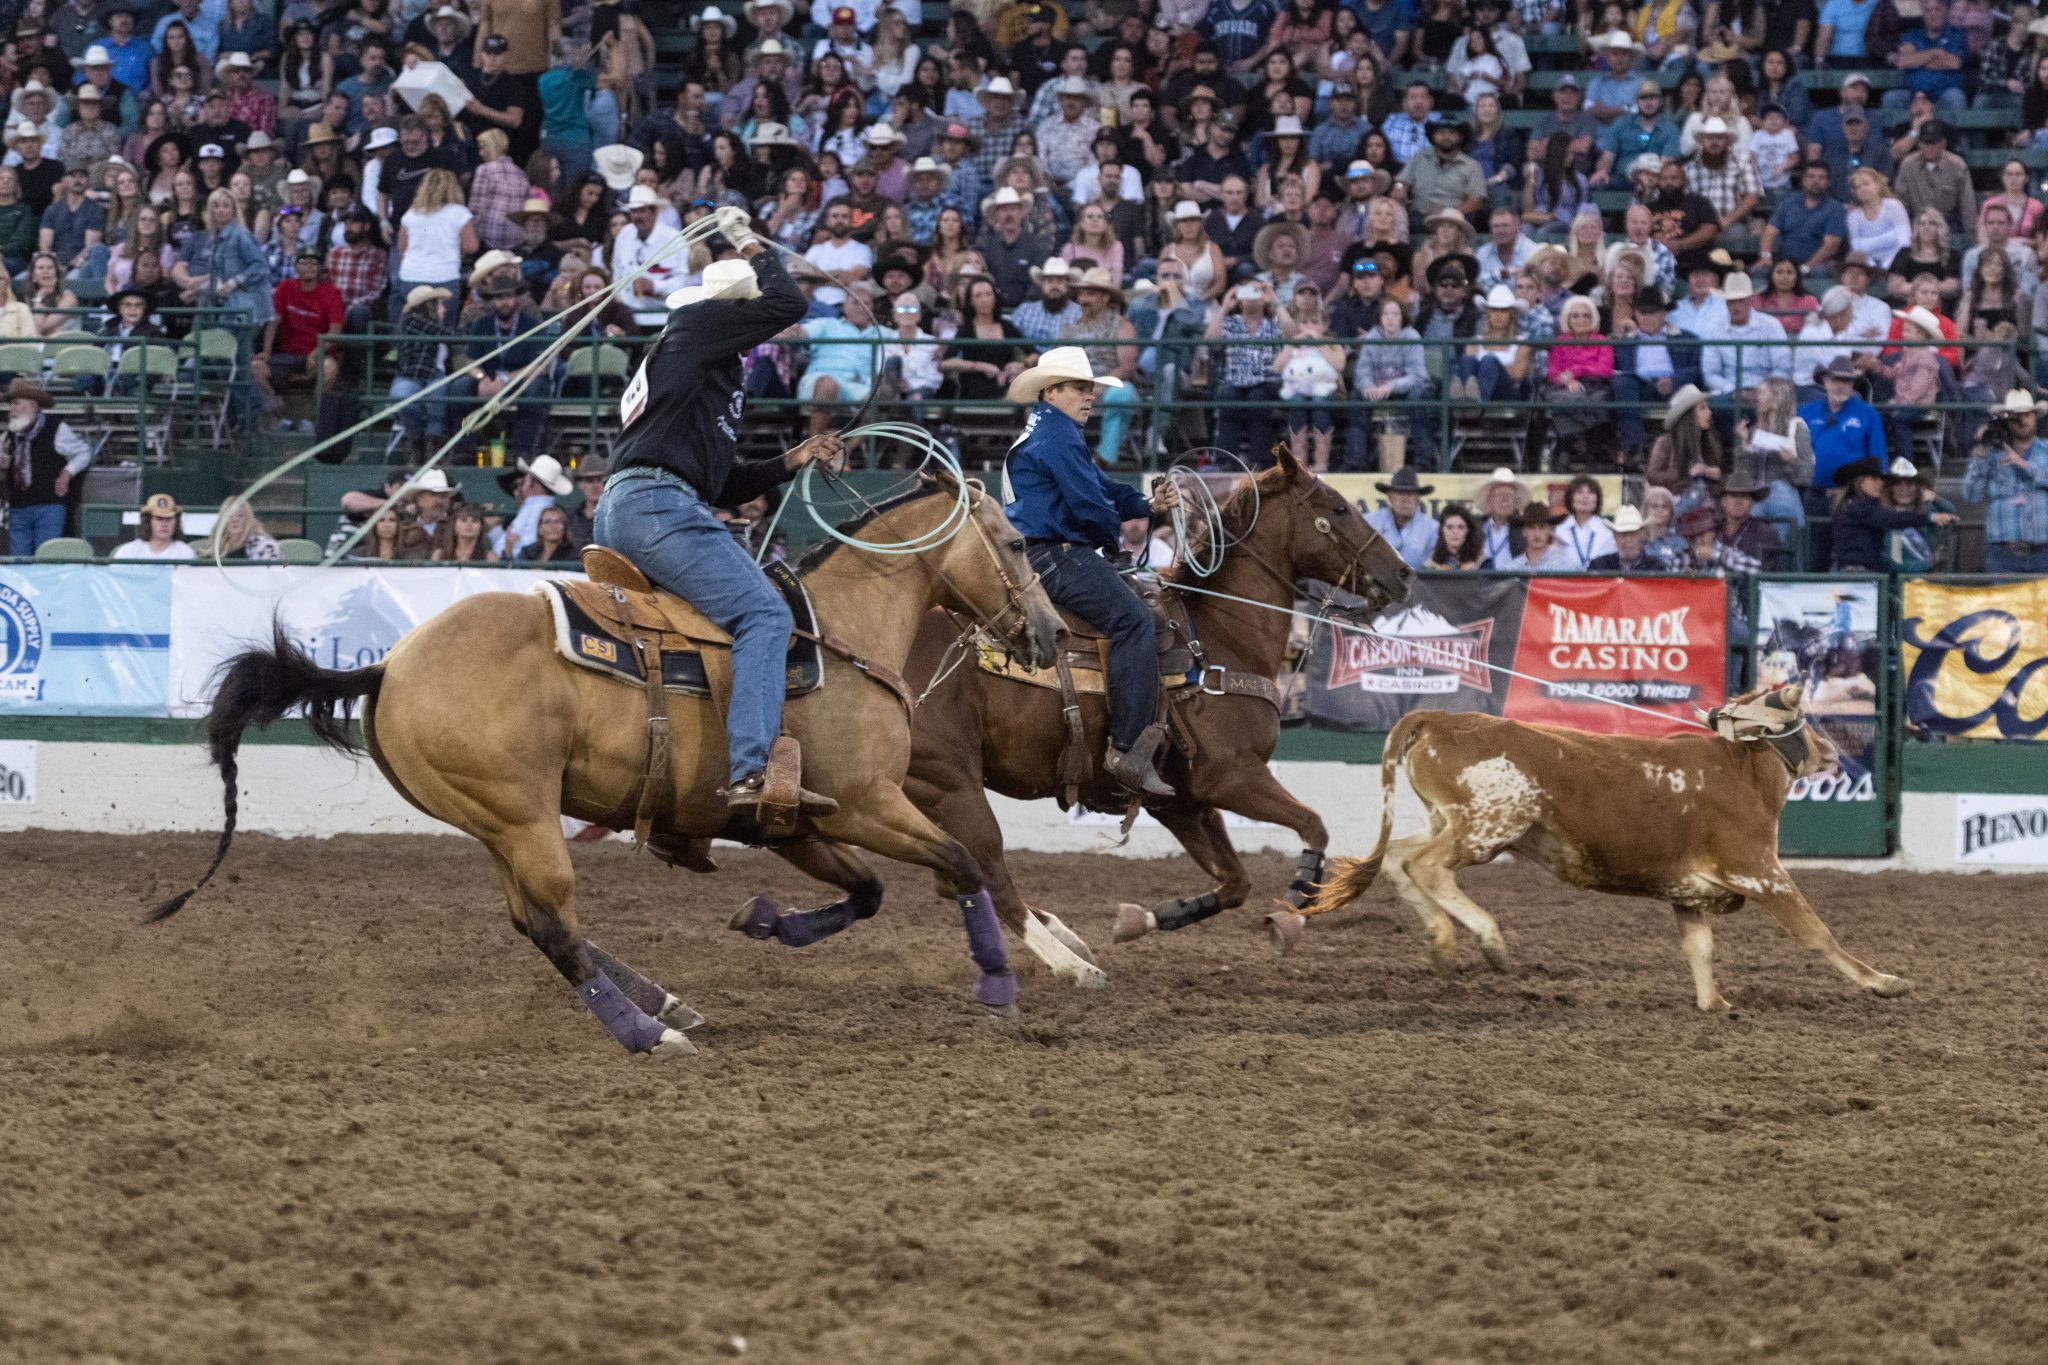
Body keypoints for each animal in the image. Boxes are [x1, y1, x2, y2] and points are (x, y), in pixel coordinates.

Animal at [151, 474, 1064, 1064]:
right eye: (1019, 541)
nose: (1051, 634)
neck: (838, 633)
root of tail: (389, 666)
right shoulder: (866, 804)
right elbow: (960, 861)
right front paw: (999, 987)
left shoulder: (796, 825)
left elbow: (867, 892)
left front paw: (767, 921)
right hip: (521, 817)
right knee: (555, 928)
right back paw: (649, 1033)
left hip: (497, 822)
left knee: (534, 924)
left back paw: (667, 1003)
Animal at [729, 444, 1417, 978]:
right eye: (1338, 508)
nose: (1405, 574)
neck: (1218, 637)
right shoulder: (1234, 776)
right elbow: (1314, 827)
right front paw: (1299, 897)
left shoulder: (1182, 798)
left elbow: (1234, 882)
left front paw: (1152, 917)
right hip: (944, 782)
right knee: (981, 869)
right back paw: (1065, 956)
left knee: (958, 874)